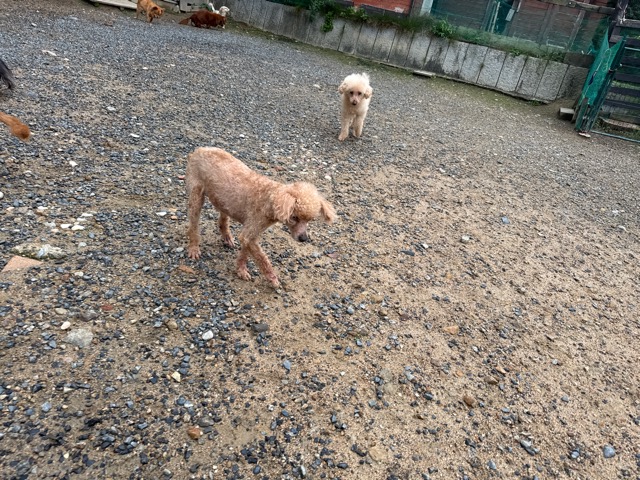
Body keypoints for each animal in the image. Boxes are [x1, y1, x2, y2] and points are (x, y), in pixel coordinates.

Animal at [186, 147, 336, 287]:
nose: (304, 239)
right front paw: (272, 278)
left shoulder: (250, 234)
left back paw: (226, 236)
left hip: (223, 200)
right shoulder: (252, 230)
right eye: (294, 217)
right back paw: (194, 247)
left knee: (223, 218)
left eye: (310, 220)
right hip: (196, 194)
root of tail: (199, 149)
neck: (270, 198)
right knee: (193, 224)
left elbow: (245, 253)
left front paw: (240, 269)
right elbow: (262, 258)